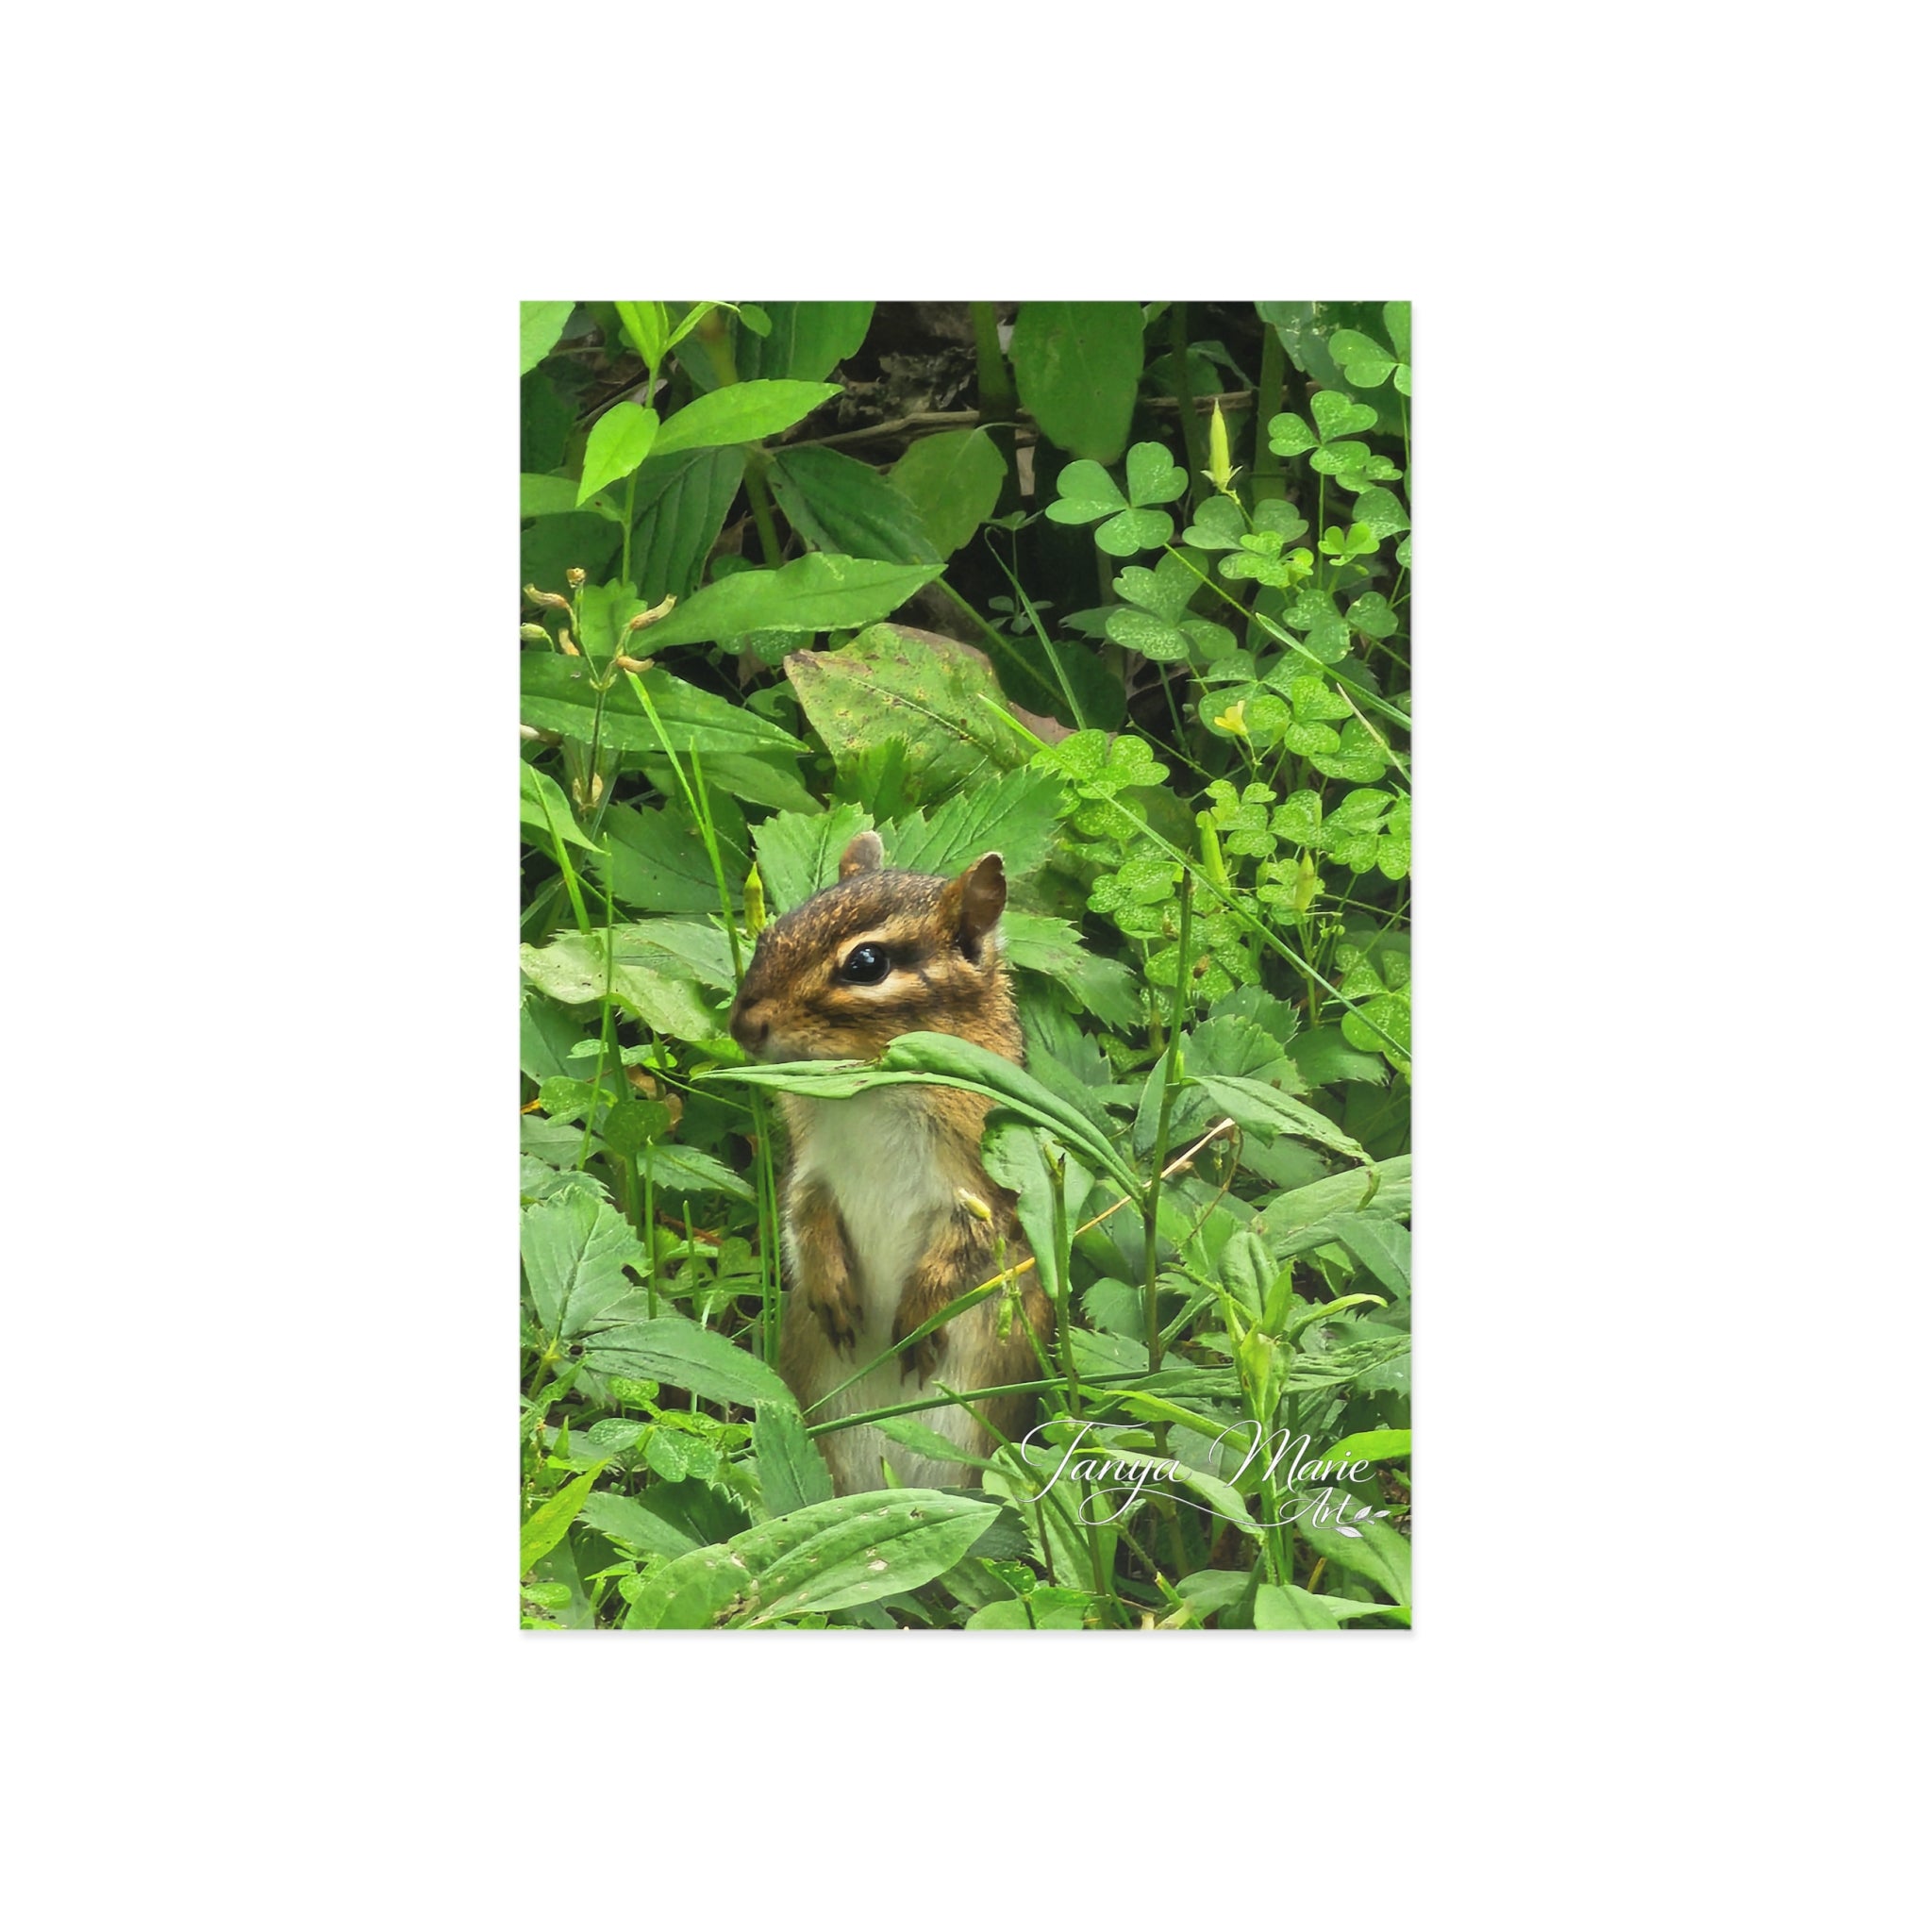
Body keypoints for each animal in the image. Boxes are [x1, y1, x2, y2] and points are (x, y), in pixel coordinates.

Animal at [728, 830, 1053, 1494]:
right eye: (772, 932)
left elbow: (966, 1248)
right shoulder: (810, 1167)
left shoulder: (983, 1187)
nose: (742, 1024)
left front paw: (920, 1317)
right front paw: (830, 1288)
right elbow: (803, 1216)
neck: (868, 1093)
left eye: (866, 964)